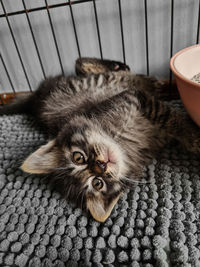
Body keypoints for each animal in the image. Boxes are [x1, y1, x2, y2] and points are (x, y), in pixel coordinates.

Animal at [0, 58, 200, 222]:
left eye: (78, 157)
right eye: (98, 183)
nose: (102, 165)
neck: (121, 140)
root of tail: (34, 99)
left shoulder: (133, 98)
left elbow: (170, 118)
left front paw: (192, 137)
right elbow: (170, 118)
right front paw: (193, 138)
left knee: (83, 63)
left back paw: (127, 70)